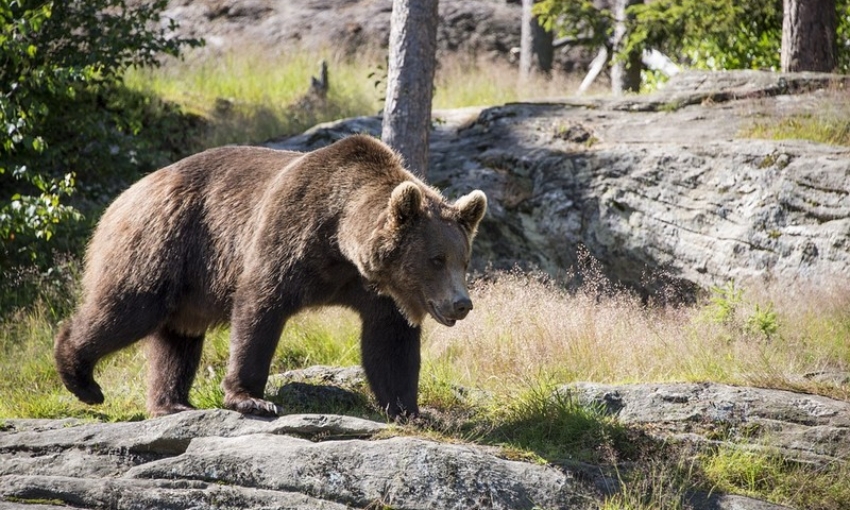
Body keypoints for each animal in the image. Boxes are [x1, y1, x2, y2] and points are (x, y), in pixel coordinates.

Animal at [54, 133, 484, 416]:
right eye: (436, 259)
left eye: (463, 259)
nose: (461, 304)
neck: (340, 242)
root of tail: (126, 194)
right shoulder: (289, 236)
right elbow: (260, 308)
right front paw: (252, 398)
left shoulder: (375, 289)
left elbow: (390, 343)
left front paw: (410, 409)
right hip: (162, 244)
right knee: (128, 309)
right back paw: (82, 379)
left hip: (187, 283)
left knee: (178, 338)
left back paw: (172, 402)